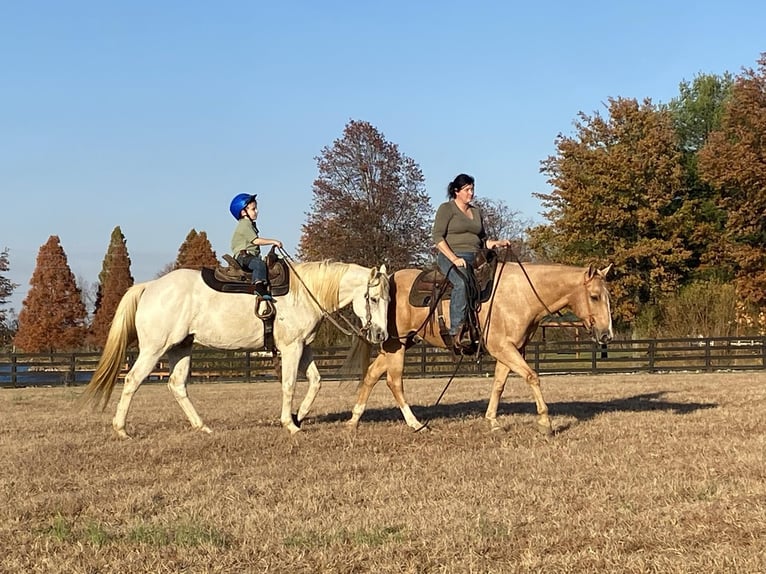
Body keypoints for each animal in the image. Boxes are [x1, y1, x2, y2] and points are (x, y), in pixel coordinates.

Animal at [80, 261, 390, 437]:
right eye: (373, 298)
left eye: (388, 298)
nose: (381, 334)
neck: (305, 292)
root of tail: (151, 286)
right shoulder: (291, 348)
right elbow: (289, 385)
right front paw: (289, 424)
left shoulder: (305, 347)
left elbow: (315, 382)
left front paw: (298, 417)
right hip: (155, 349)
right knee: (133, 380)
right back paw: (121, 430)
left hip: (181, 348)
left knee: (177, 385)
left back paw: (202, 427)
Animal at [345, 261, 613, 434]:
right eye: (595, 296)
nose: (607, 335)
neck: (522, 294)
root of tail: (388, 279)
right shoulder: (503, 348)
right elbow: (532, 376)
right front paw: (545, 423)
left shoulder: (511, 349)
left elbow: (499, 385)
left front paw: (493, 421)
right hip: (397, 344)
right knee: (394, 381)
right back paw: (415, 424)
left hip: (398, 343)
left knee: (372, 374)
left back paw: (354, 420)